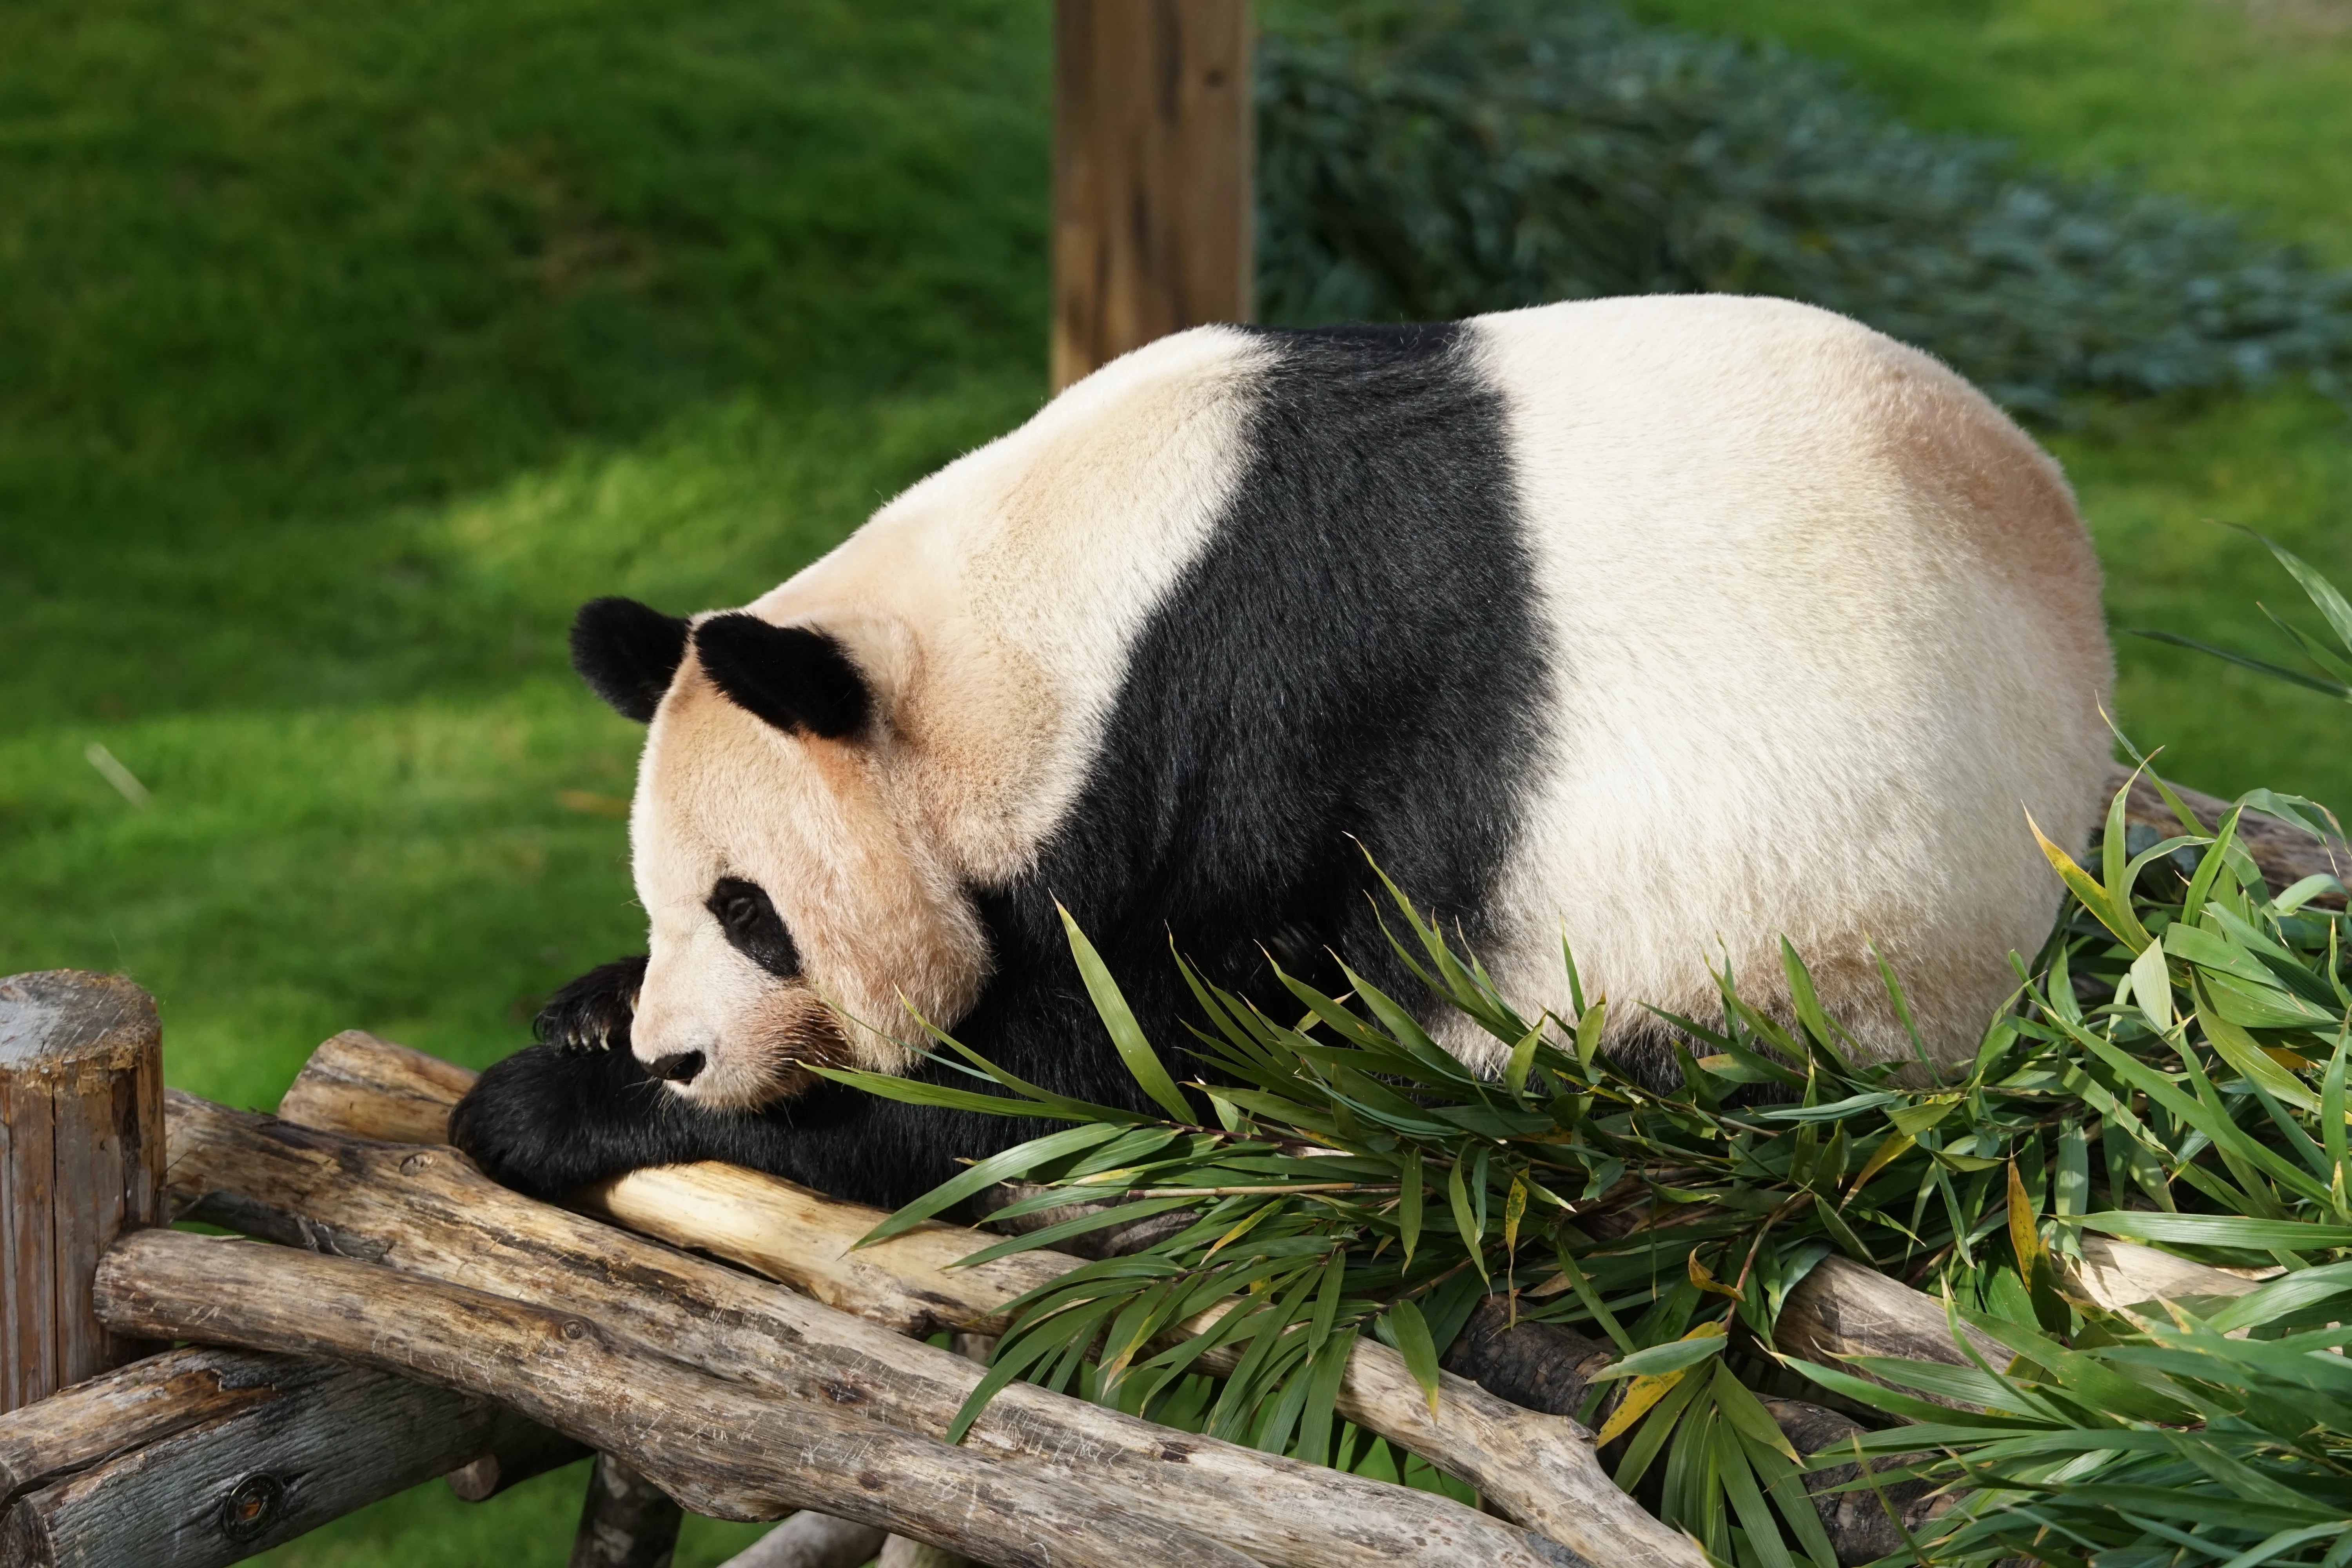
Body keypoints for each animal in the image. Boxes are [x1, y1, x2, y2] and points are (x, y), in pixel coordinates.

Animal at [449, 295, 2113, 1211]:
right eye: (667, 897)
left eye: (753, 912)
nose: (681, 1048)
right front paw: (585, 1008)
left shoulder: (1271, 732)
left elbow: (1074, 1084)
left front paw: (538, 1107)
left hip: (1811, 963)